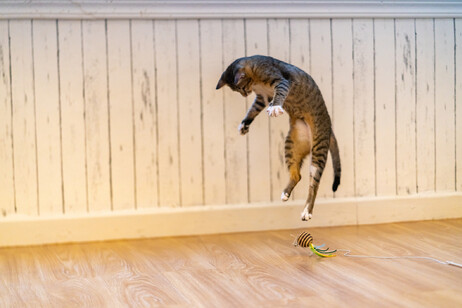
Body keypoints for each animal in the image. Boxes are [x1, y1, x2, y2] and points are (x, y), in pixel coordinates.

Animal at [216, 54, 340, 220]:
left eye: (241, 88)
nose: (245, 94)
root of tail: (330, 130)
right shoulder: (262, 97)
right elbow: (253, 110)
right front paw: (244, 124)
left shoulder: (280, 81)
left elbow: (279, 93)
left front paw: (275, 107)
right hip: (291, 147)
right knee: (297, 175)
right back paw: (285, 193)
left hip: (318, 149)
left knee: (314, 185)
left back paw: (307, 211)